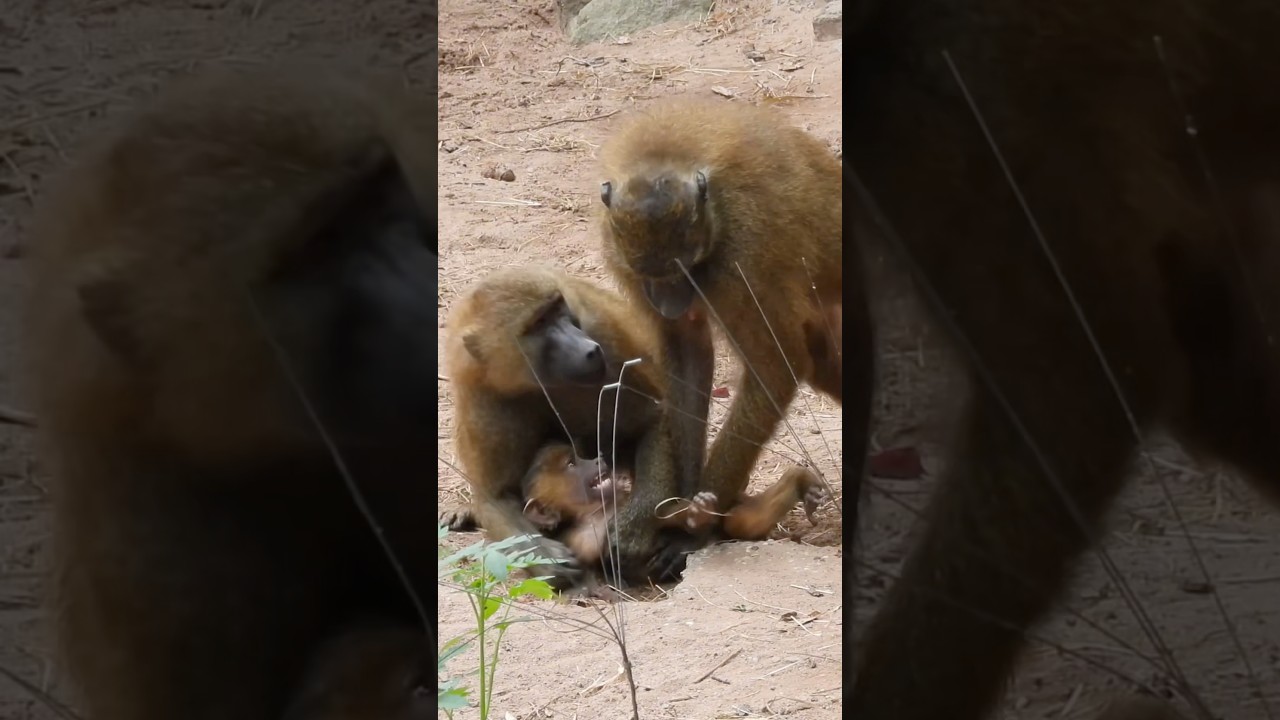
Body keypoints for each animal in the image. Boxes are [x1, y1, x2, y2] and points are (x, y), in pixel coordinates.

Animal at [442, 265, 682, 588]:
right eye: (539, 323)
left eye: (558, 309)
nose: (590, 350)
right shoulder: (480, 392)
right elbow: (496, 496)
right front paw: (544, 557)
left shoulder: (603, 334)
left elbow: (652, 420)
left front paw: (631, 532)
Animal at [596, 96, 872, 577]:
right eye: (654, 274)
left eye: (683, 267)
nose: (670, 304)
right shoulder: (624, 256)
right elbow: (686, 354)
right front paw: (660, 514)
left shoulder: (744, 256)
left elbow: (775, 367)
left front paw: (696, 526)